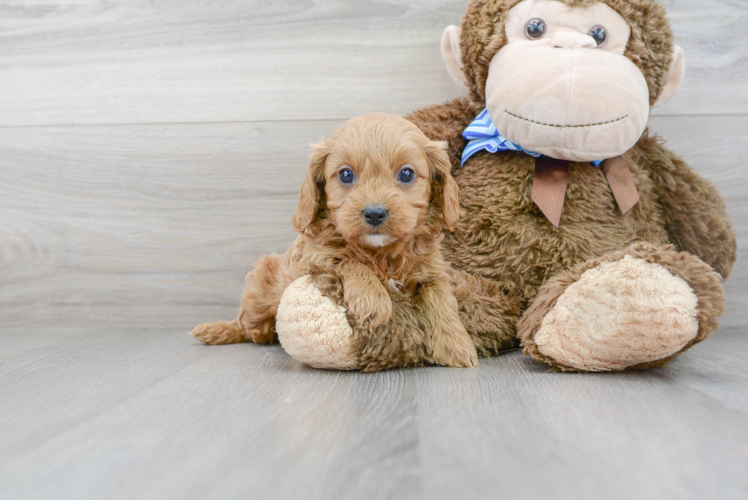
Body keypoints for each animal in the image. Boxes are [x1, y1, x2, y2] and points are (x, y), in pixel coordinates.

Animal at [190, 115, 476, 370]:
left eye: (406, 174)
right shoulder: (312, 258)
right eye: (346, 175)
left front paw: (457, 345)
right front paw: (372, 300)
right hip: (260, 286)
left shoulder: (430, 270)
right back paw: (224, 330)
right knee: (245, 325)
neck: (381, 251)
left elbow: (441, 299)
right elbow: (348, 260)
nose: (374, 213)